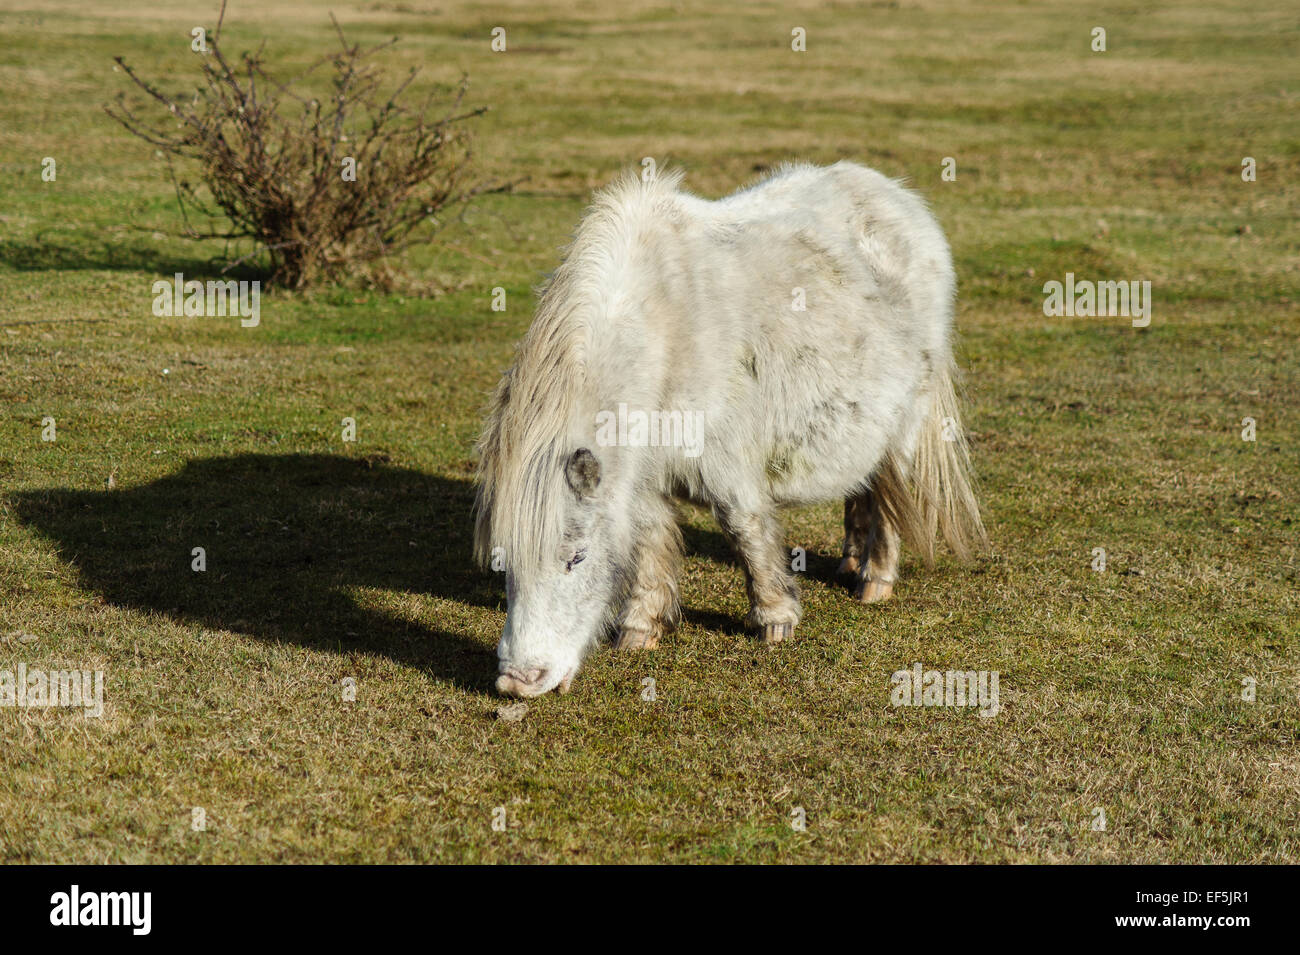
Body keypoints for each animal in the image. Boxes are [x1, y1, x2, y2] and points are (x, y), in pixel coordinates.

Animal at [478, 164, 982, 696]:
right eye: (505, 563)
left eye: (576, 557)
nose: (519, 681)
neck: (660, 332)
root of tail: (898, 197)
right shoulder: (643, 477)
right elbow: (649, 542)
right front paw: (641, 629)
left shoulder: (723, 460)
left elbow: (746, 528)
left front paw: (776, 621)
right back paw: (850, 561)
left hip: (908, 420)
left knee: (889, 490)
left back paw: (875, 582)